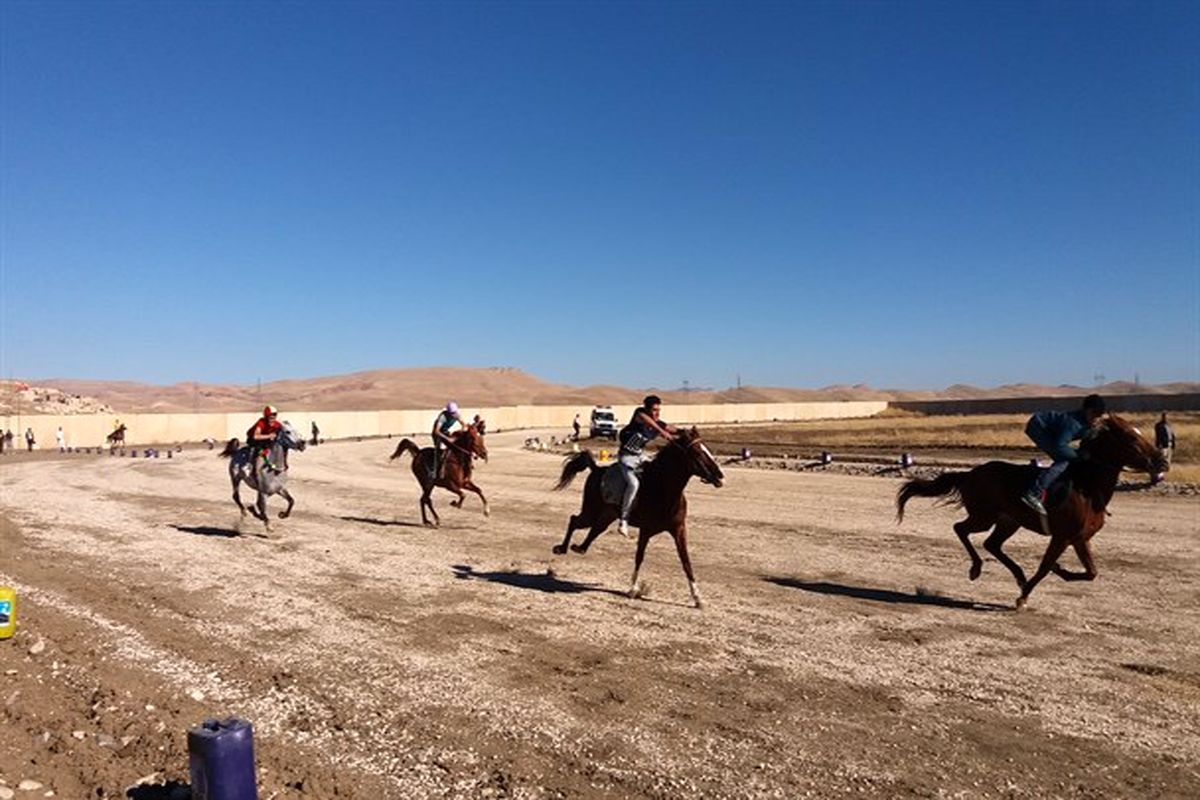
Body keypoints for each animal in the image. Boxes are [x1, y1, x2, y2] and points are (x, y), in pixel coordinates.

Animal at [549, 429, 720, 609]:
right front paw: (632, 589)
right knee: (574, 520)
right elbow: (639, 556)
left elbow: (685, 561)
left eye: (707, 449)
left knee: (595, 529)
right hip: (591, 511)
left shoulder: (679, 530)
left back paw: (579, 548)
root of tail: (596, 470)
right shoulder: (646, 530)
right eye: (698, 453)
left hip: (606, 515)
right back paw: (562, 548)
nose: (719, 475)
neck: (663, 489)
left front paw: (698, 598)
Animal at [897, 417, 1166, 609]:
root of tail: (970, 473)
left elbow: (1092, 572)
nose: (1161, 462)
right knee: (961, 529)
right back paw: (976, 569)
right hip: (984, 516)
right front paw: (1023, 597)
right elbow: (1045, 567)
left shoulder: (1080, 538)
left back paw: (1018, 575)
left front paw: (1057, 571)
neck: (1088, 487)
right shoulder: (1062, 536)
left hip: (1008, 521)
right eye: (1131, 437)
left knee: (991, 543)